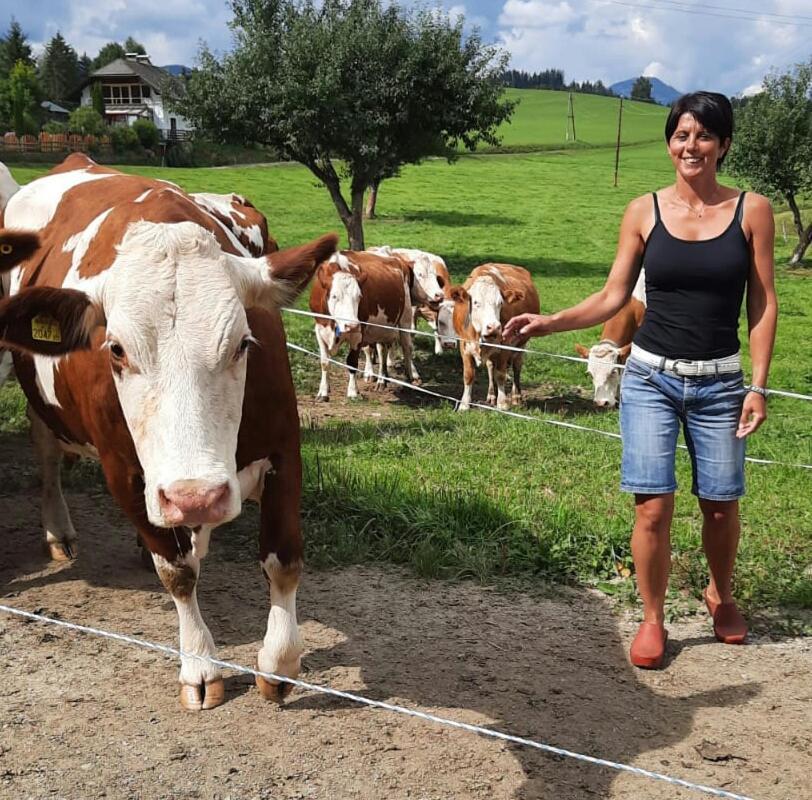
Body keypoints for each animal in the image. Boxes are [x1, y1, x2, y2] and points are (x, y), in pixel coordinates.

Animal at [0, 153, 336, 708]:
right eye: (115, 349)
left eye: (244, 343)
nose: (195, 496)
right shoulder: (123, 473)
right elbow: (177, 573)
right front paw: (200, 665)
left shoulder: (285, 450)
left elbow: (283, 560)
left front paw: (280, 663)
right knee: (47, 453)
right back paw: (59, 531)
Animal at [306, 250, 416, 400]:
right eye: (334, 296)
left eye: (359, 296)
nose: (351, 325)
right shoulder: (320, 329)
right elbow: (324, 362)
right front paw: (323, 391)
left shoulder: (358, 333)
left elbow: (352, 362)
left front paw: (352, 391)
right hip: (382, 328)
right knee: (382, 350)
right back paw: (382, 380)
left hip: (405, 316)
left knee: (406, 346)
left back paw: (409, 378)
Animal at [438, 264, 540, 410]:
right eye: (475, 302)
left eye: (500, 303)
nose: (494, 327)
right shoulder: (464, 345)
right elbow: (468, 375)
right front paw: (464, 404)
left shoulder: (505, 346)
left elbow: (501, 374)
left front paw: (502, 403)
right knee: (491, 367)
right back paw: (491, 395)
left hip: (521, 344)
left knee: (516, 366)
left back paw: (516, 397)